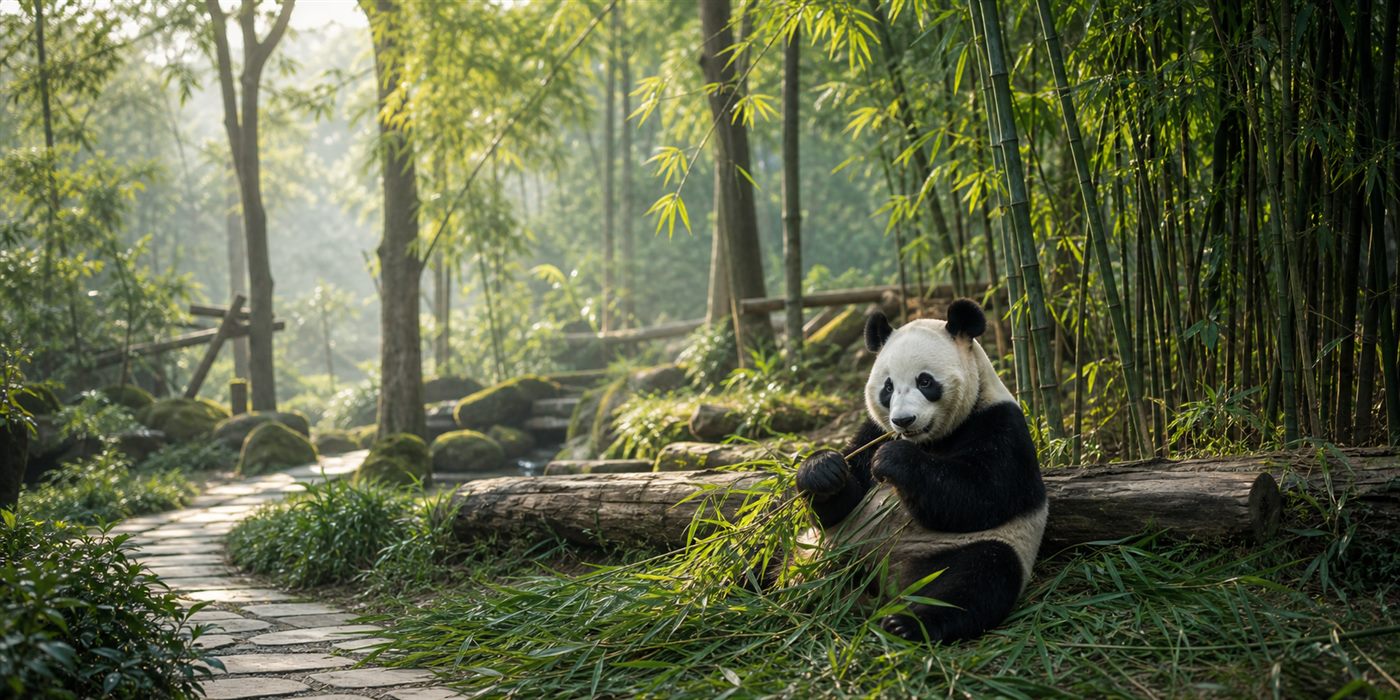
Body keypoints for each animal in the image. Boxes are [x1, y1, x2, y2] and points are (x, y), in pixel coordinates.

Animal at [793, 298, 1047, 643]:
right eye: (887, 388)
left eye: (925, 381)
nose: (903, 420)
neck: (929, 441)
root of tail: (883, 580)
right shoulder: (874, 430)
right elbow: (839, 504)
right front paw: (822, 470)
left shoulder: (1001, 425)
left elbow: (982, 494)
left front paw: (894, 460)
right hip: (824, 546)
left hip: (968, 549)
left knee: (977, 579)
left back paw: (908, 623)